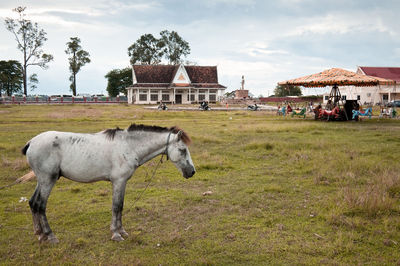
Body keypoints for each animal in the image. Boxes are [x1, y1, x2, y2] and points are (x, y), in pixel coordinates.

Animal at [21, 124, 195, 243]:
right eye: (182, 150)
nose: (192, 172)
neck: (128, 146)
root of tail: (32, 142)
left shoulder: (121, 183)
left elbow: (120, 207)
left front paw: (122, 231)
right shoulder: (118, 182)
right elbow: (117, 206)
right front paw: (116, 234)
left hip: (42, 181)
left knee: (33, 203)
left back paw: (39, 234)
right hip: (47, 180)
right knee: (40, 205)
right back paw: (50, 236)